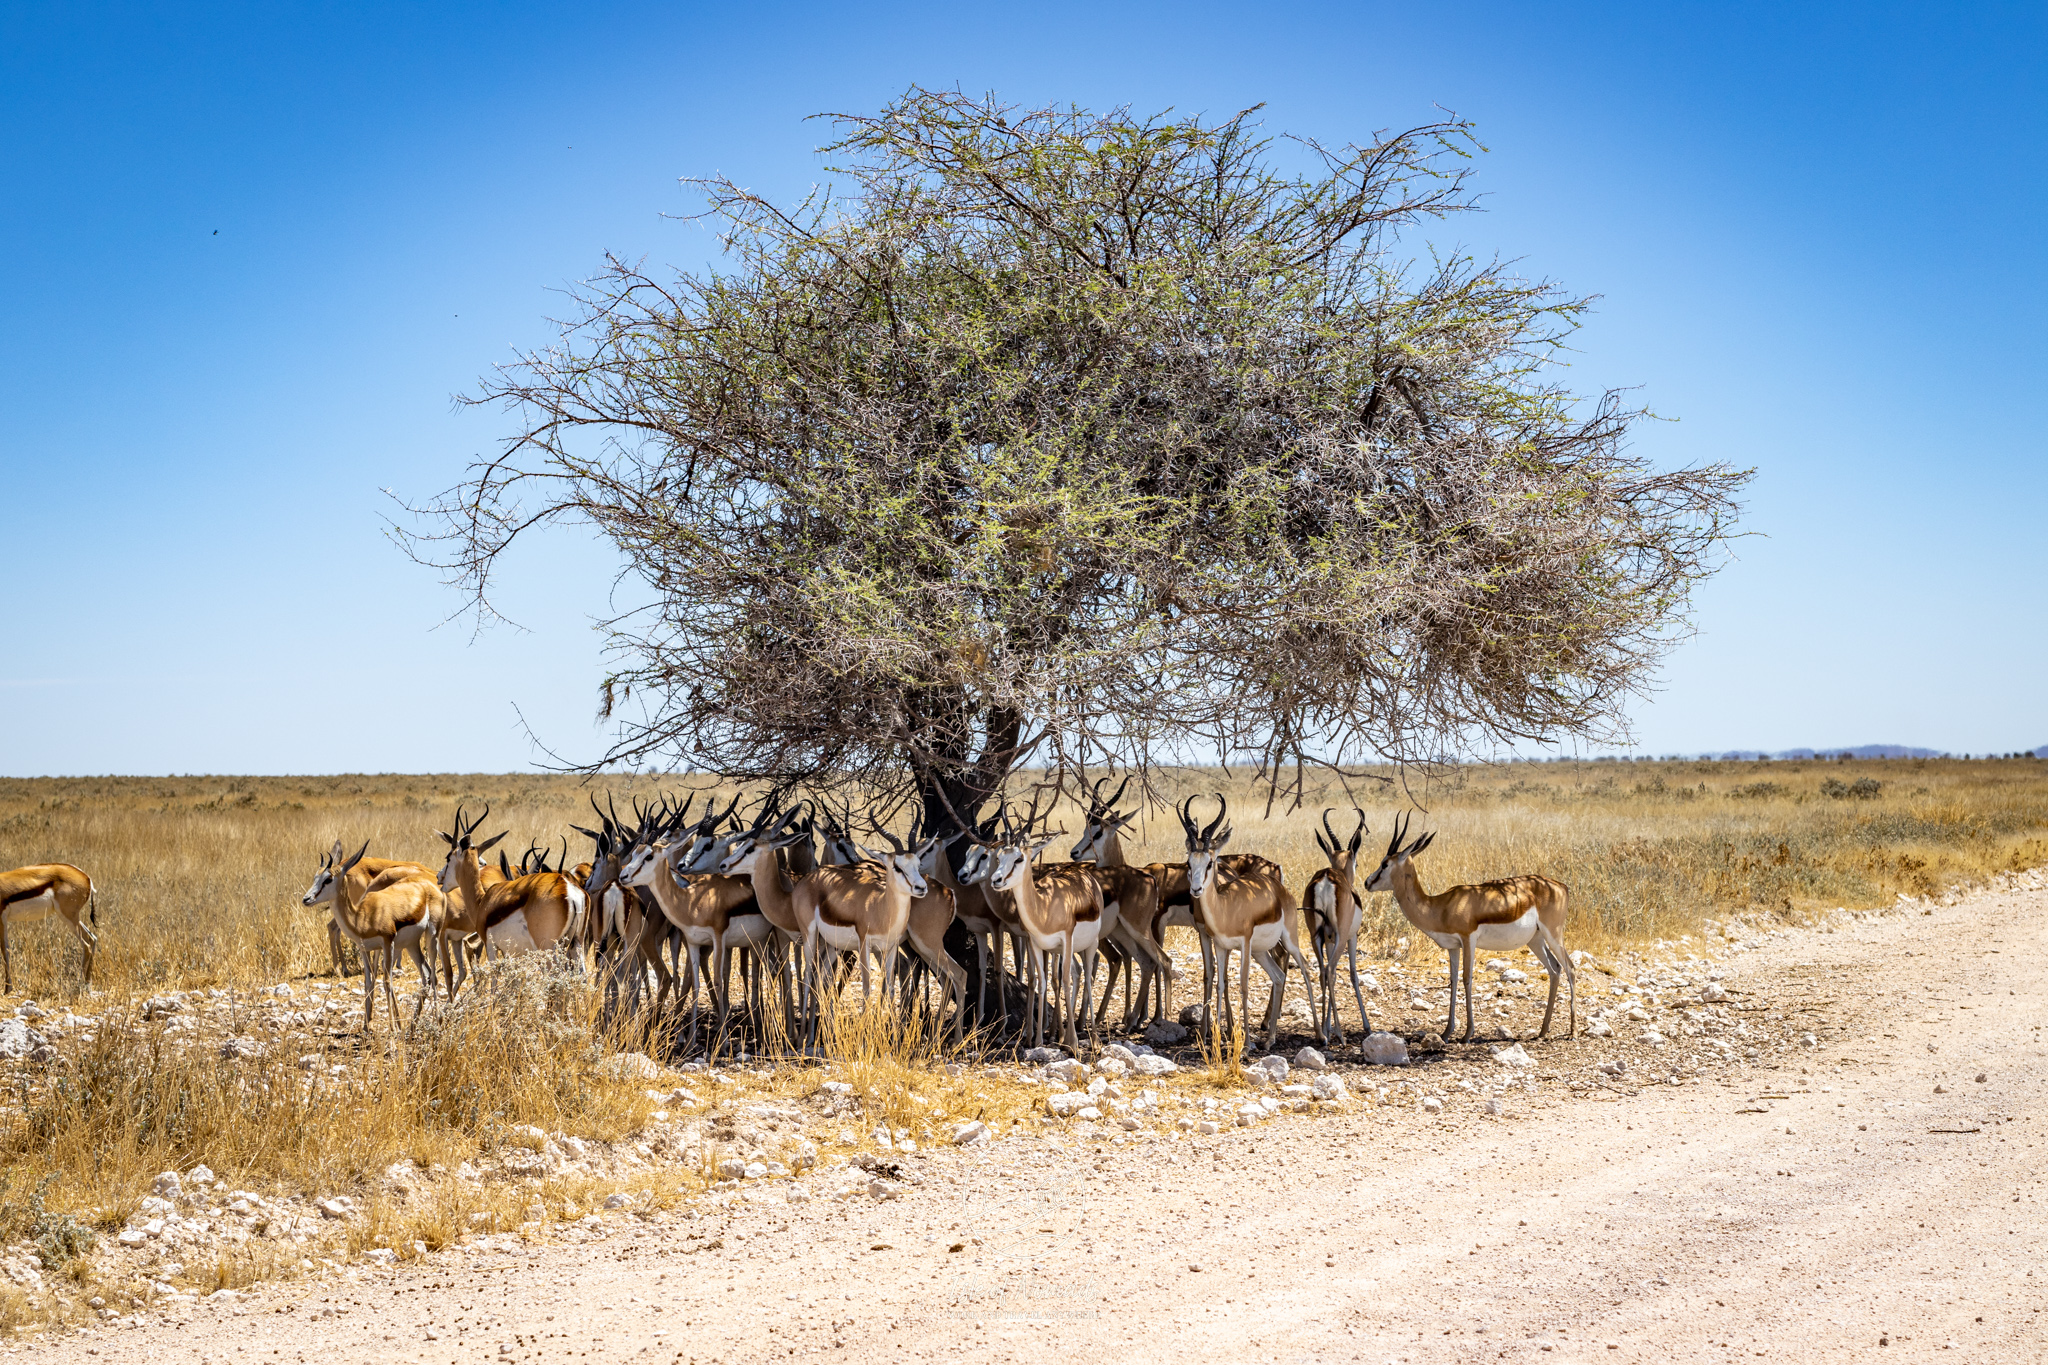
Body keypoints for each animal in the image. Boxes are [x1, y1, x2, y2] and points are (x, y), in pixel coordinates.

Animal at [0, 863, 96, 994]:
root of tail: (86, 877)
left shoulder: (1, 918)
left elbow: (4, 951)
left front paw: (7, 990)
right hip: (72, 917)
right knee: (92, 938)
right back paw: (88, 985)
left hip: (68, 916)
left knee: (86, 944)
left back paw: (81, 985)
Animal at [1310, 810, 1376, 1047]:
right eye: (1355, 863)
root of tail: (1326, 879)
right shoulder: (1351, 937)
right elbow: (1353, 975)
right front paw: (1366, 1025)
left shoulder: (1328, 938)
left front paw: (1327, 1027)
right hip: (1340, 937)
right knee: (1329, 970)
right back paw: (1340, 1034)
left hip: (1316, 937)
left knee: (1323, 971)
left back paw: (1322, 1034)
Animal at [1368, 810, 1572, 1047]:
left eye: (1384, 863)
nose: (1367, 883)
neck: (1441, 906)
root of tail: (1561, 886)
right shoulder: (1453, 947)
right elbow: (1453, 980)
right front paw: (1446, 1033)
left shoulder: (1468, 939)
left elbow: (1467, 979)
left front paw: (1467, 1033)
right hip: (1536, 940)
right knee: (1555, 969)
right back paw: (1543, 1030)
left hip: (1553, 934)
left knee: (1570, 968)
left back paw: (1573, 1031)